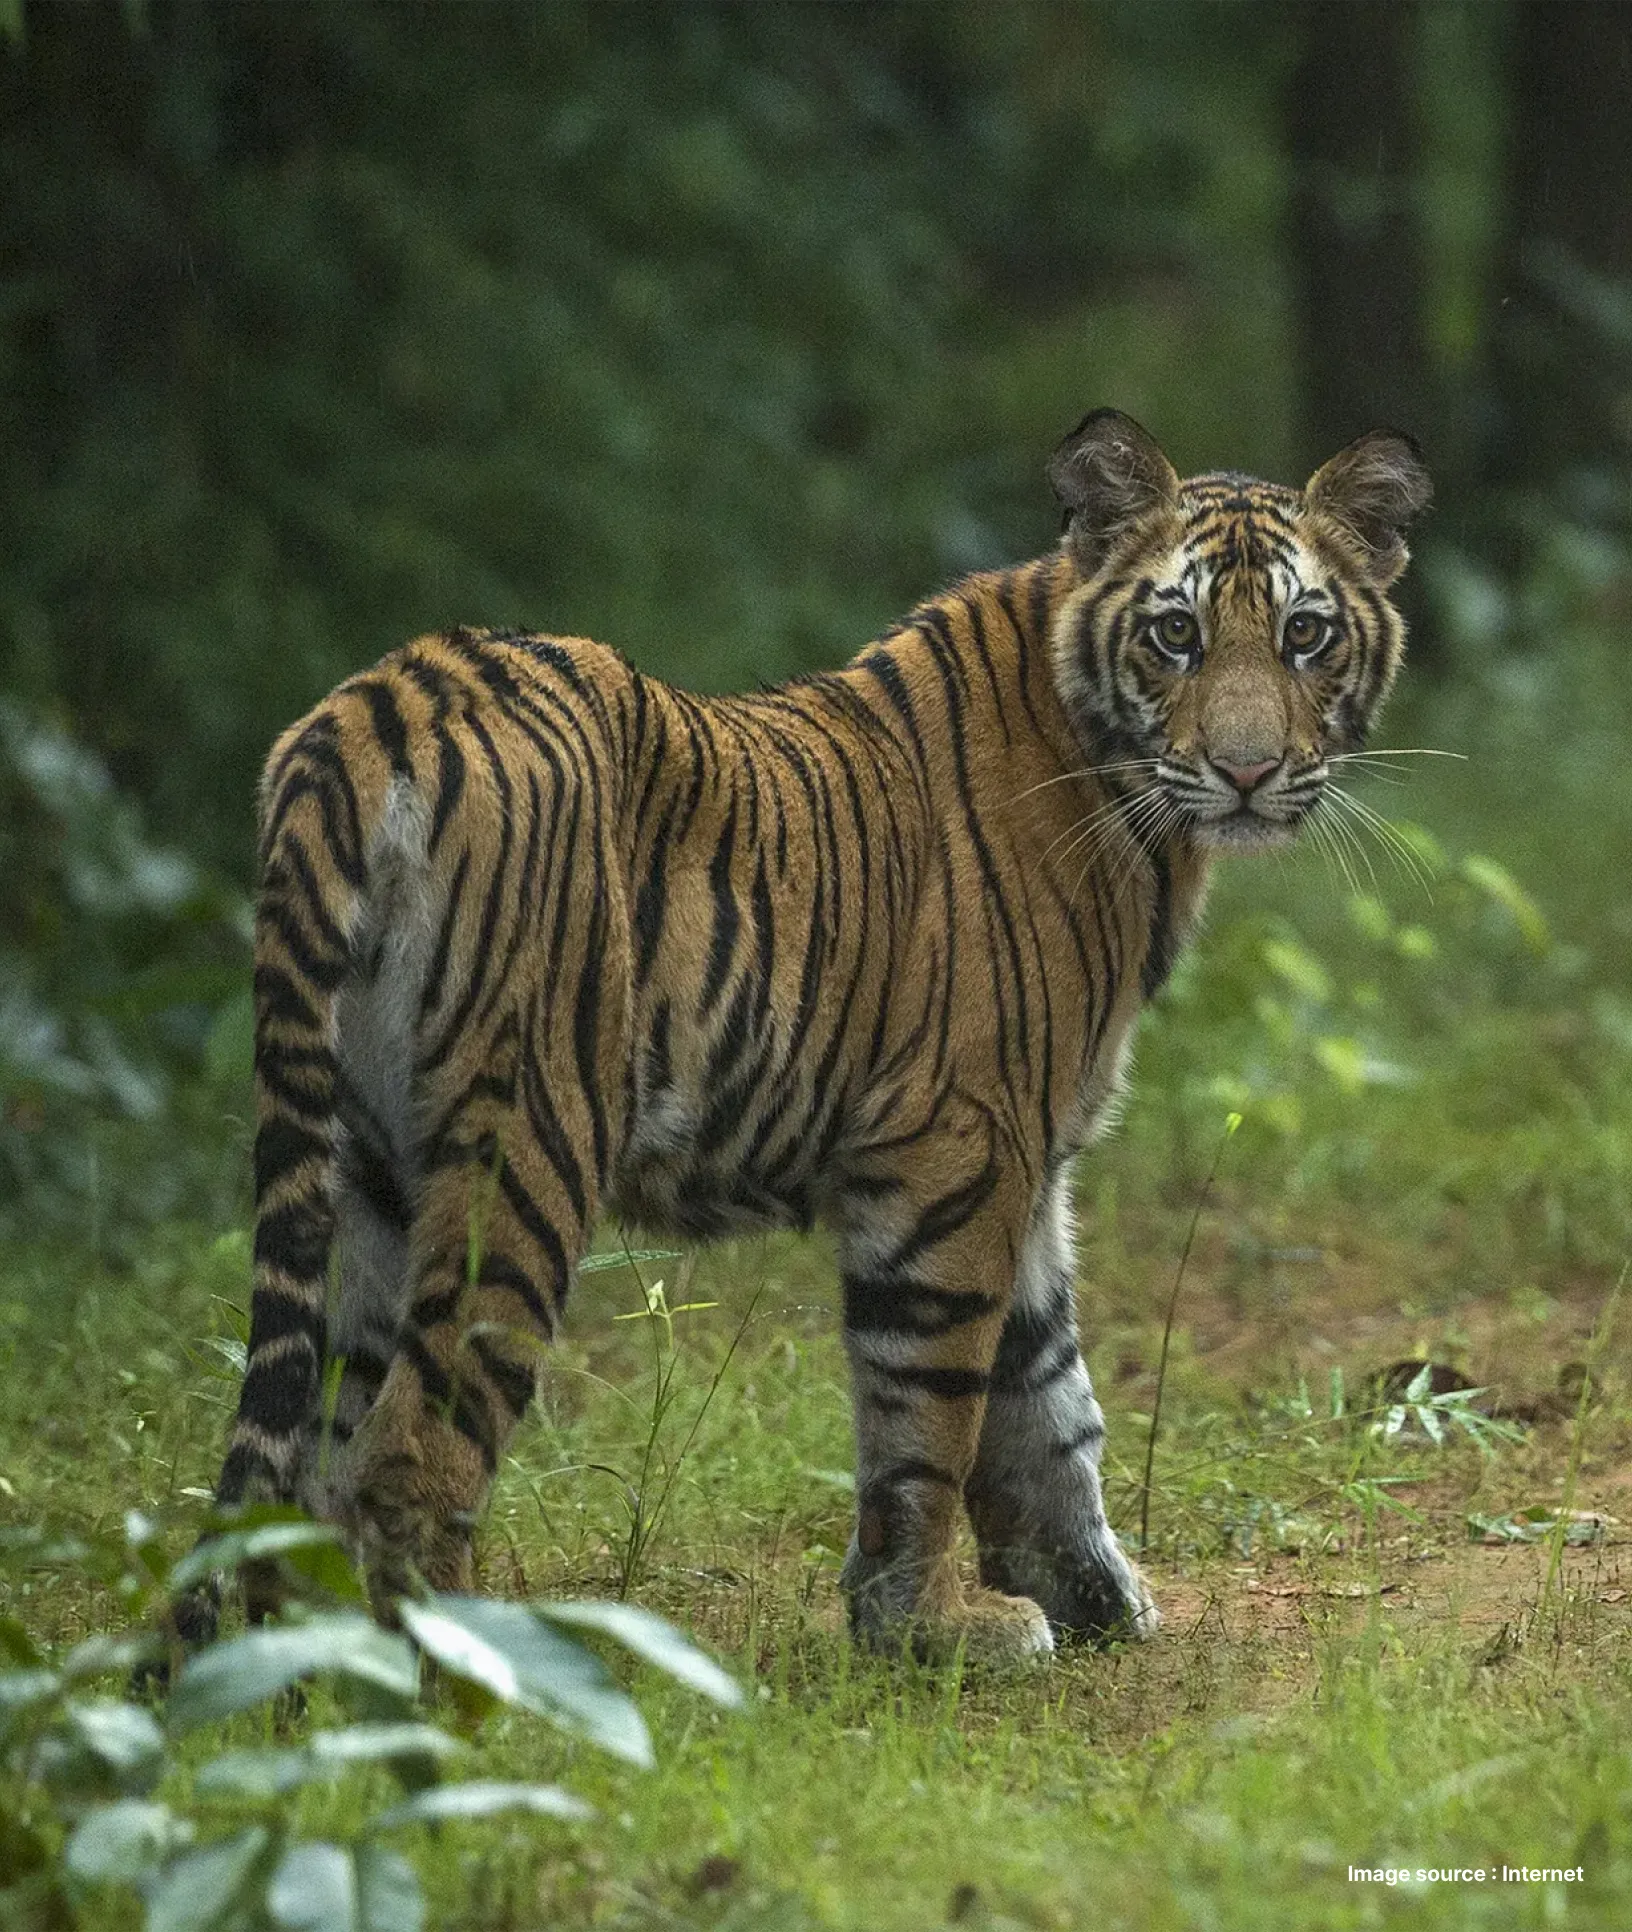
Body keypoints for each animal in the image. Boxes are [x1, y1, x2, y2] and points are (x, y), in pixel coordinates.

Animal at [179, 408, 1429, 1664]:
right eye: (1176, 633)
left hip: (367, 1176)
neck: (1121, 791)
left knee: (313, 1472)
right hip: (523, 1147)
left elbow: (1049, 1397)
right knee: (409, 1456)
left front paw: (1093, 1597)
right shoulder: (960, 1150)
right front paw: (928, 1624)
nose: (1246, 771)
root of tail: (376, 705)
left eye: (1305, 633)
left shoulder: (1031, 1158)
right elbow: (936, 1406)